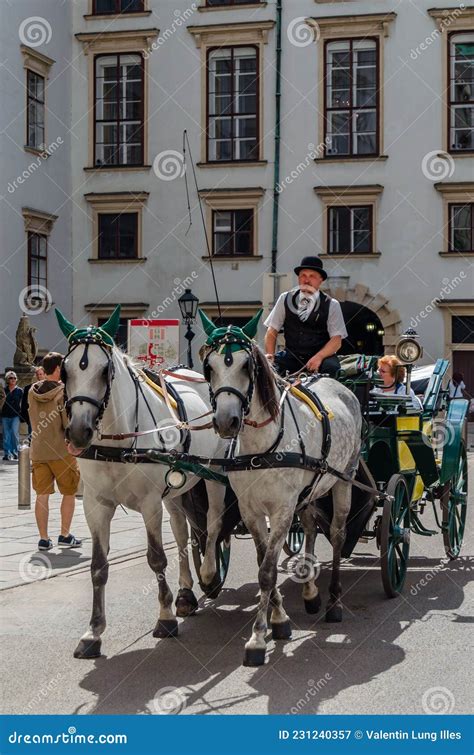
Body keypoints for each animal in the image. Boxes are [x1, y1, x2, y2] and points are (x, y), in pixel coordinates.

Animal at [54, 304, 229, 660]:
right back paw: (186, 594)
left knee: (214, 523)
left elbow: (156, 557)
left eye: (105, 370)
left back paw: (208, 575)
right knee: (181, 532)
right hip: (176, 488)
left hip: (214, 476)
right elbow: (98, 566)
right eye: (65, 371)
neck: (118, 440)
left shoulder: (149, 504)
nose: (78, 431)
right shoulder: (95, 506)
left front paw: (165, 619)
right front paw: (93, 632)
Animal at [199, 310, 360, 664]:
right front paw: (279, 620)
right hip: (311, 489)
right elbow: (264, 563)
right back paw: (311, 591)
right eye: (209, 366)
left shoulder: (283, 510)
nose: (226, 422)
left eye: (246, 366)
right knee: (311, 528)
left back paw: (334, 602)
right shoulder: (251, 510)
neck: (260, 445)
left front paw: (258, 637)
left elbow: (267, 572)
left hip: (344, 481)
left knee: (338, 535)